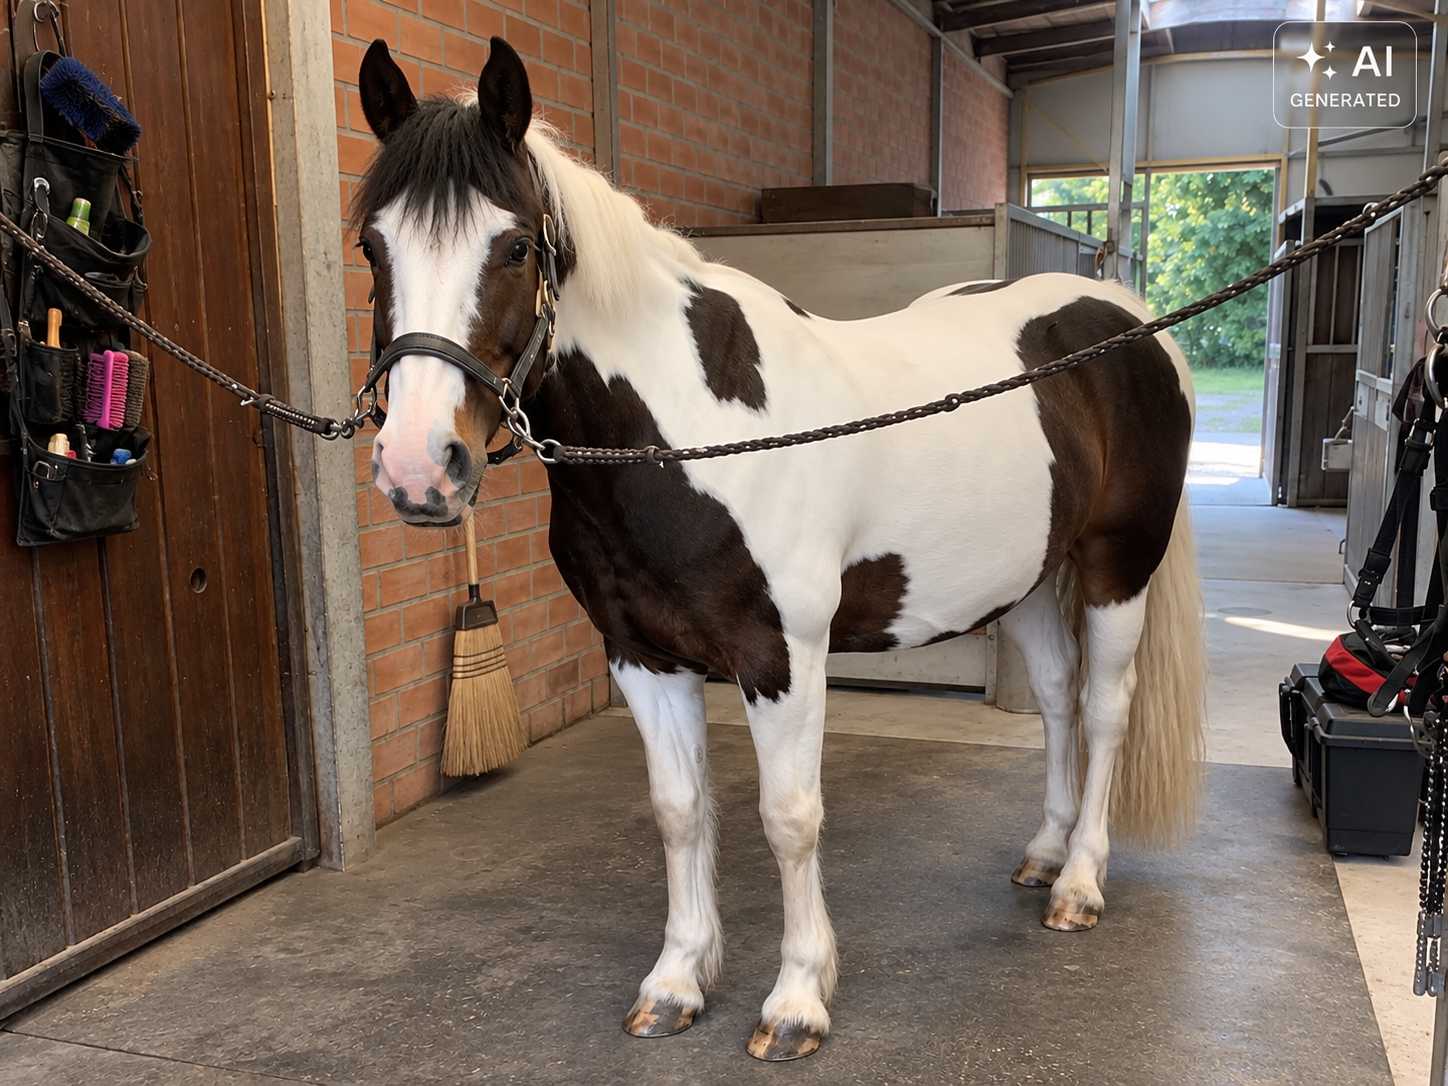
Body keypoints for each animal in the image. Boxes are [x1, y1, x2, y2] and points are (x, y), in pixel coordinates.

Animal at [352, 36, 1206, 1062]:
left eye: (514, 246)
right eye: (371, 247)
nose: (418, 467)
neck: (691, 434)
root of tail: (1123, 313)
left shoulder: (781, 656)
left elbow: (789, 819)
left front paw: (797, 1000)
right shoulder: (642, 656)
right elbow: (681, 812)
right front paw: (677, 984)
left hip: (1119, 566)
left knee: (1107, 709)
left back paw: (1080, 883)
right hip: (1032, 579)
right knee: (1054, 701)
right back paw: (1044, 854)